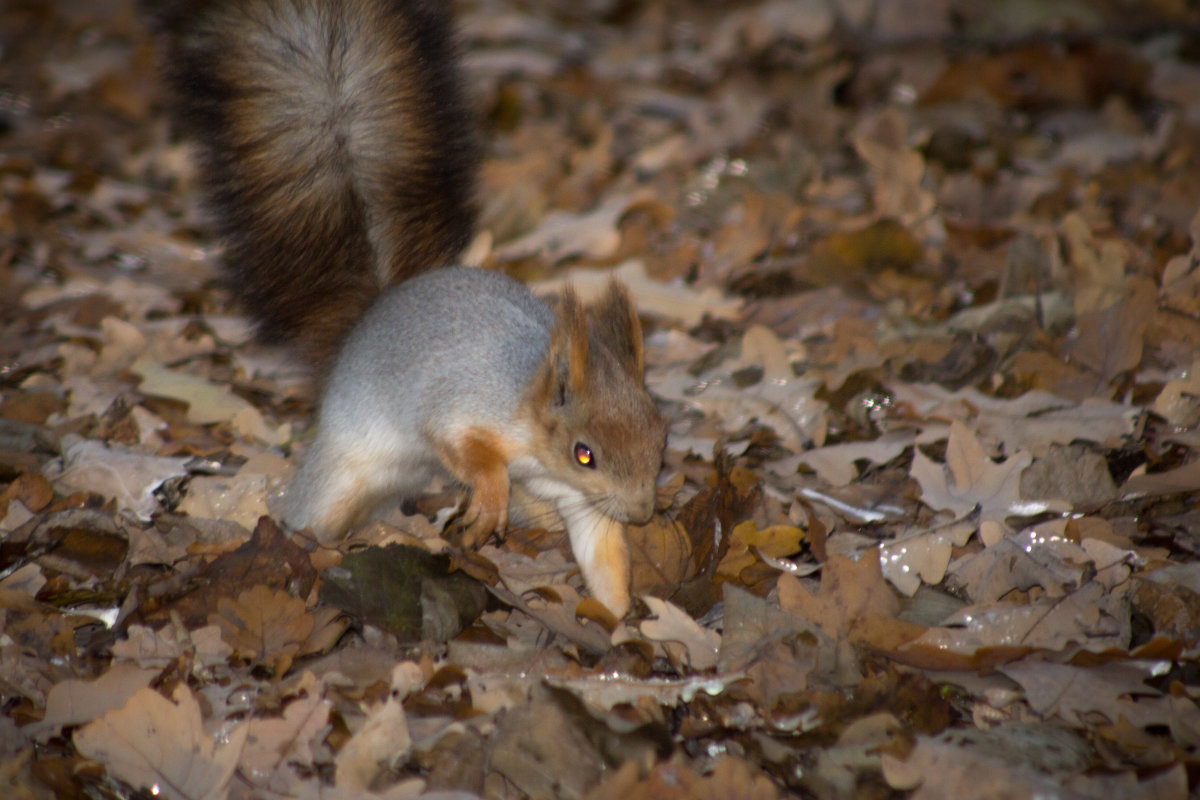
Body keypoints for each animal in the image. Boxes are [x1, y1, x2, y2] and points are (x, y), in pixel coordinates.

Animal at [152, 0, 667, 618]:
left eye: (661, 434)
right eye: (583, 453)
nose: (643, 513)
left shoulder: (583, 502)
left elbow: (603, 556)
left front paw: (621, 618)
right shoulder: (464, 401)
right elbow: (462, 445)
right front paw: (489, 494)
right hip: (342, 469)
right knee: (312, 514)